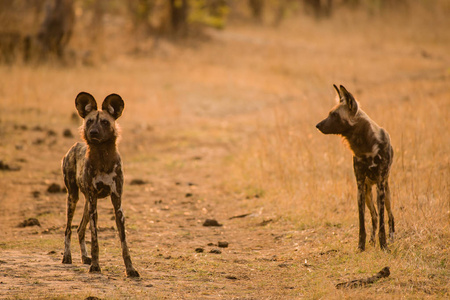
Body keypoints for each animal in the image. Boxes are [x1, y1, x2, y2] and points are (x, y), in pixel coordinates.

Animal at [61, 91, 139, 276]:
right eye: (89, 121)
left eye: (104, 122)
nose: (93, 132)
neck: (103, 157)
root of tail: (75, 145)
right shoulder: (93, 203)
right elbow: (95, 239)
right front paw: (96, 267)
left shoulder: (117, 203)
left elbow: (124, 243)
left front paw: (130, 269)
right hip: (74, 198)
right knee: (68, 228)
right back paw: (67, 257)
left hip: (87, 204)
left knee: (80, 229)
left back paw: (84, 257)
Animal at [316, 84, 394, 251]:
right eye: (330, 113)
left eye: (334, 115)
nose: (317, 125)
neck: (366, 146)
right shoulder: (359, 186)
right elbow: (362, 222)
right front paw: (361, 247)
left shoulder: (380, 185)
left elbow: (383, 222)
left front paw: (384, 246)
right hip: (367, 194)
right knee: (374, 217)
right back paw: (372, 241)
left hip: (385, 192)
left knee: (390, 216)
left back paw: (391, 239)